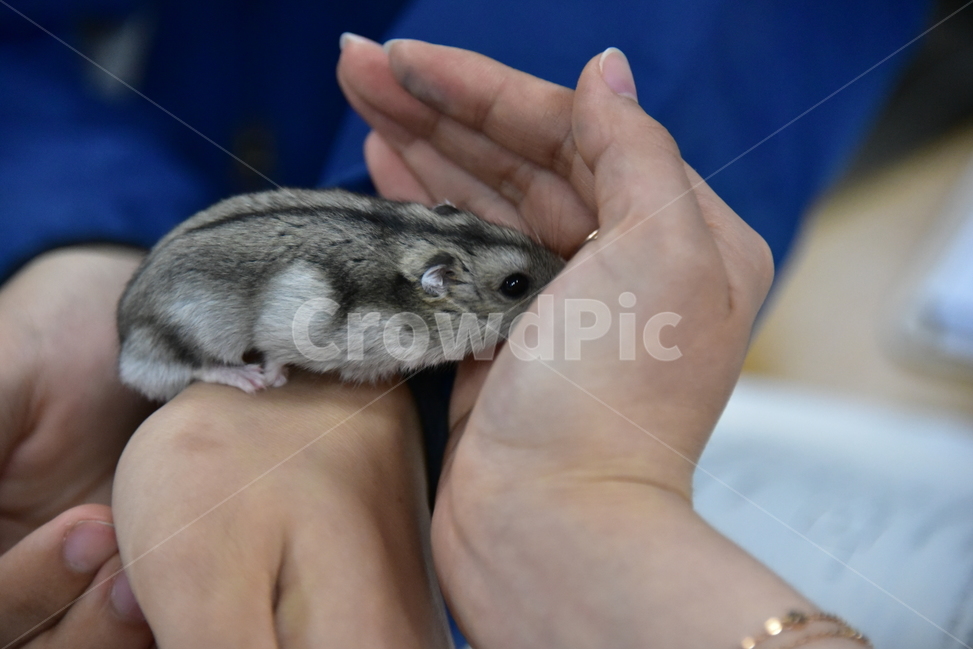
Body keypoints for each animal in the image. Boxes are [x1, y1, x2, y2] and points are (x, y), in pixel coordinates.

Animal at [117, 188, 565, 401]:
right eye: (514, 285)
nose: (564, 266)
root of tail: (123, 336)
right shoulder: (288, 322)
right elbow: (274, 352)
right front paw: (274, 378)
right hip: (182, 333)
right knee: (196, 366)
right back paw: (247, 378)